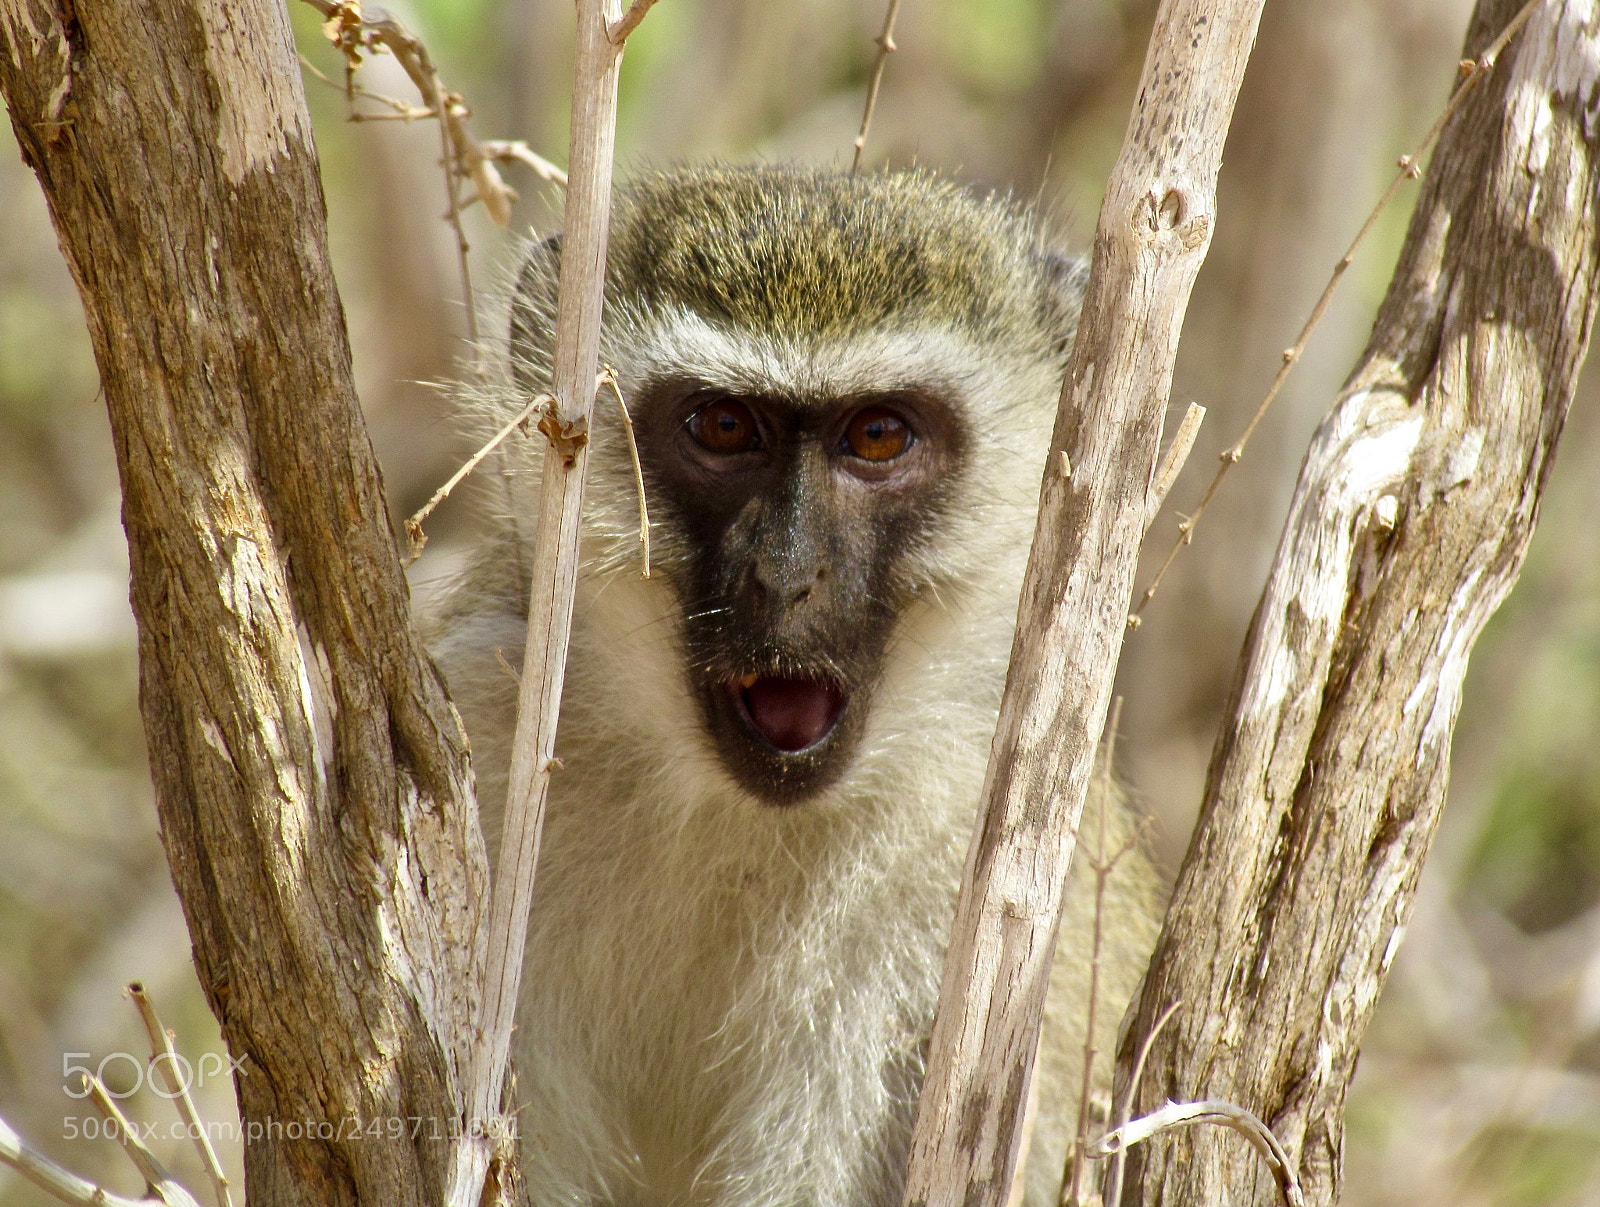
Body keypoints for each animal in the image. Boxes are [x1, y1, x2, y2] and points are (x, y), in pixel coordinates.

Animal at [426, 163, 1163, 1207]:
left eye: (880, 436)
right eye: (725, 425)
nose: (786, 574)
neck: (732, 816)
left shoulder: (962, 861)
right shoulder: (487, 733)